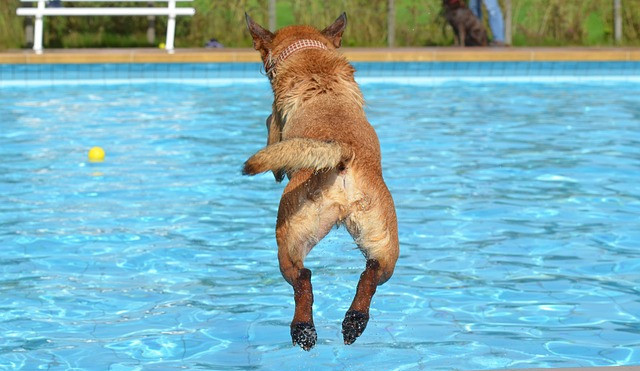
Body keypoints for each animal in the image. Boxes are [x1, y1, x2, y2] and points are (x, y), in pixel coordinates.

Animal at [242, 13, 398, 352]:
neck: (310, 55)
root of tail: (342, 152)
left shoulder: (274, 125)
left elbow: (270, 129)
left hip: (289, 237)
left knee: (303, 278)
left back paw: (303, 330)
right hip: (384, 242)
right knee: (371, 273)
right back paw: (353, 322)